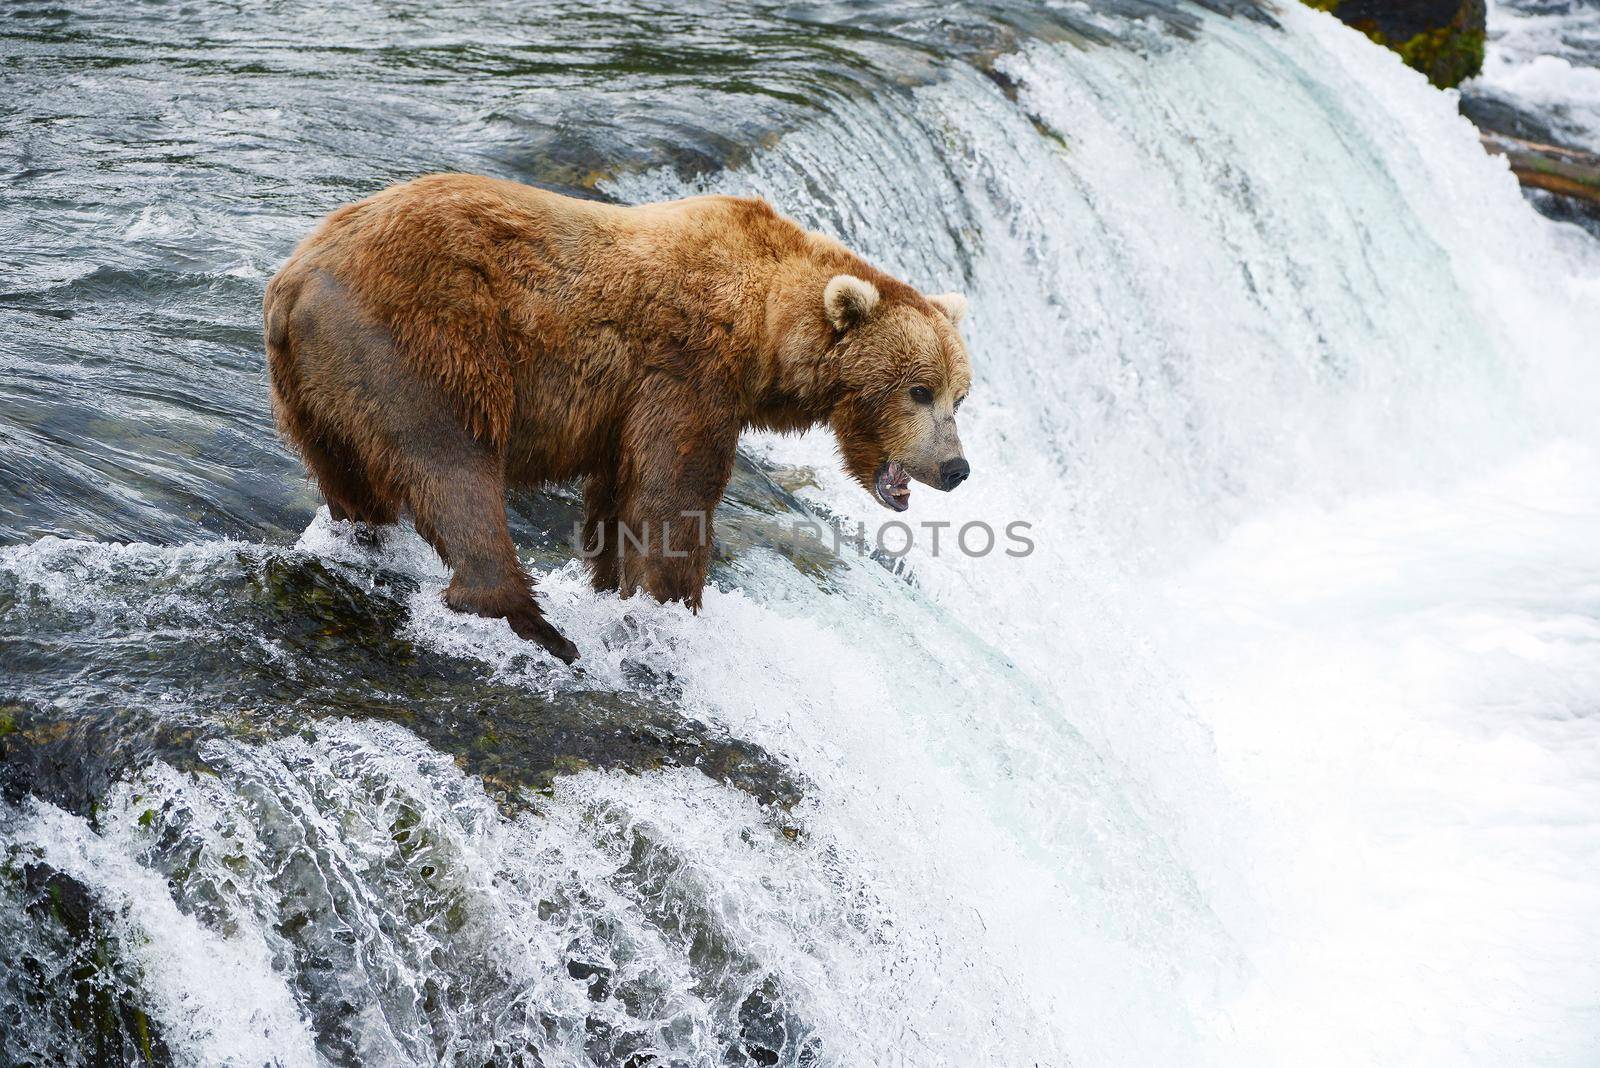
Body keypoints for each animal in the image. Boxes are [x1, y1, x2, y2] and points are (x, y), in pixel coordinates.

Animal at [262, 174, 972, 658]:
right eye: (918, 390)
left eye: (959, 394)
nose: (956, 466)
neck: (766, 331)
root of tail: (293, 280)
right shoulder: (688, 373)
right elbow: (673, 497)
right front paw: (673, 606)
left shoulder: (625, 410)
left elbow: (615, 499)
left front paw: (612, 590)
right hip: (419, 345)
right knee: (453, 467)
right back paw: (533, 624)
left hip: (312, 393)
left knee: (352, 481)